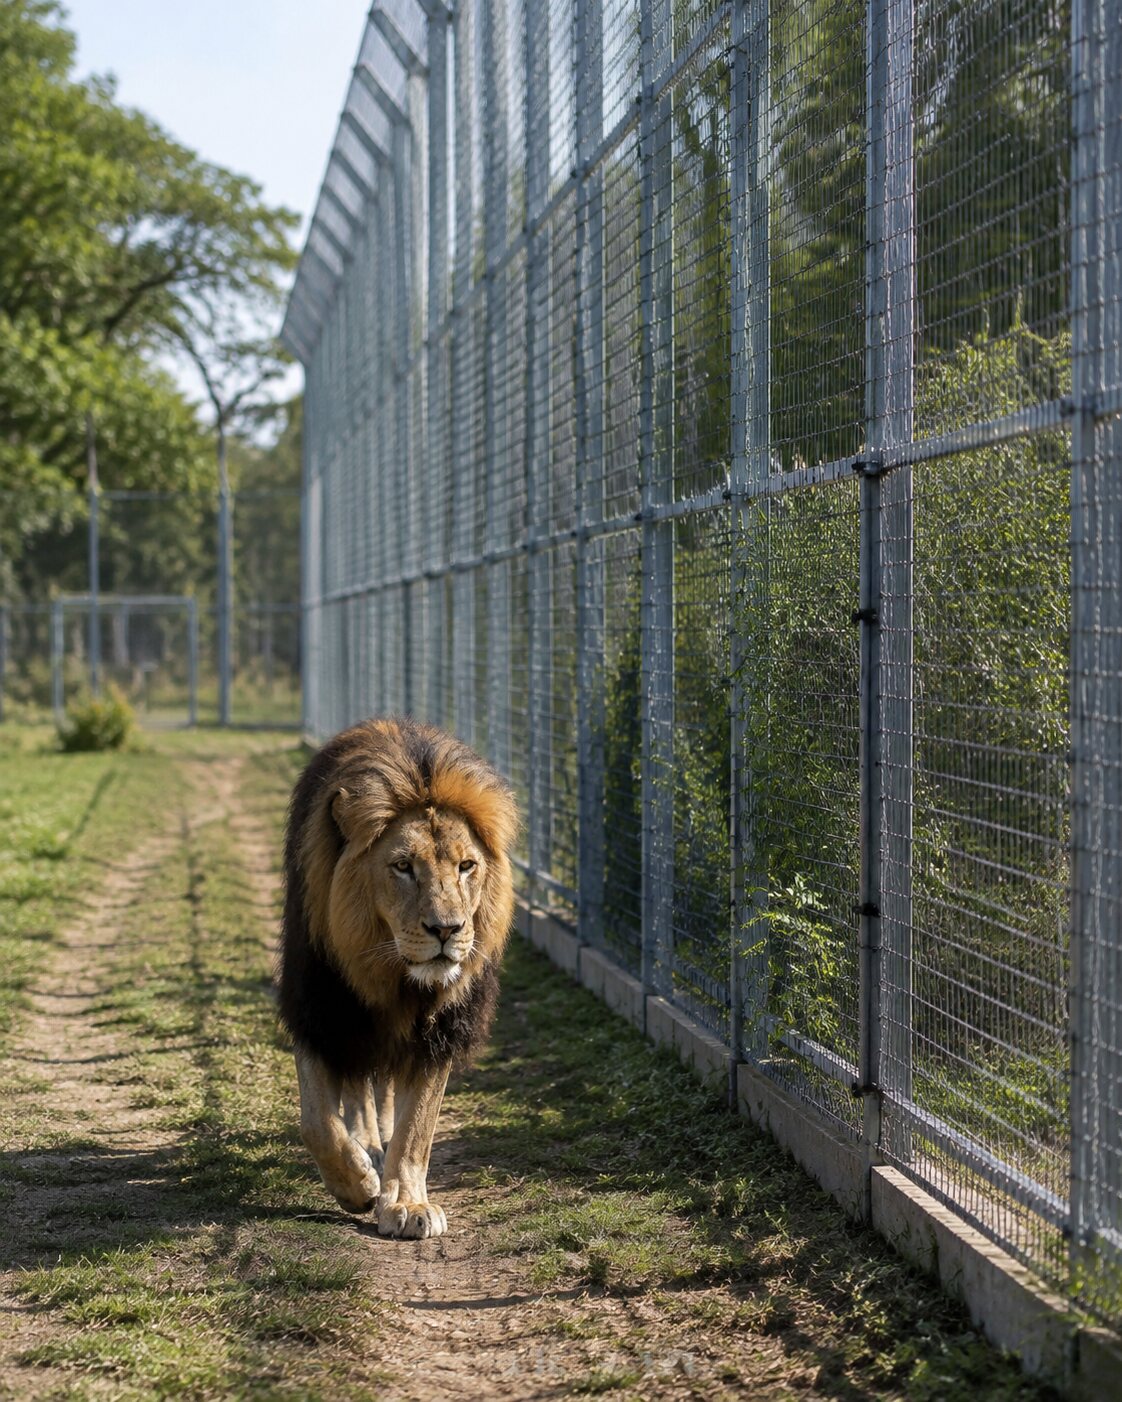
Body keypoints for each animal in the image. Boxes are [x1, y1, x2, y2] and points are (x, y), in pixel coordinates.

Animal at [277, 716, 518, 1239]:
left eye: (467, 866)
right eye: (403, 866)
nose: (446, 929)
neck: (395, 976)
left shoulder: (440, 1031)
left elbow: (416, 1129)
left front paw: (406, 1203)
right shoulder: (318, 1011)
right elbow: (317, 1123)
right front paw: (358, 1186)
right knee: (358, 1085)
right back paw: (366, 1145)